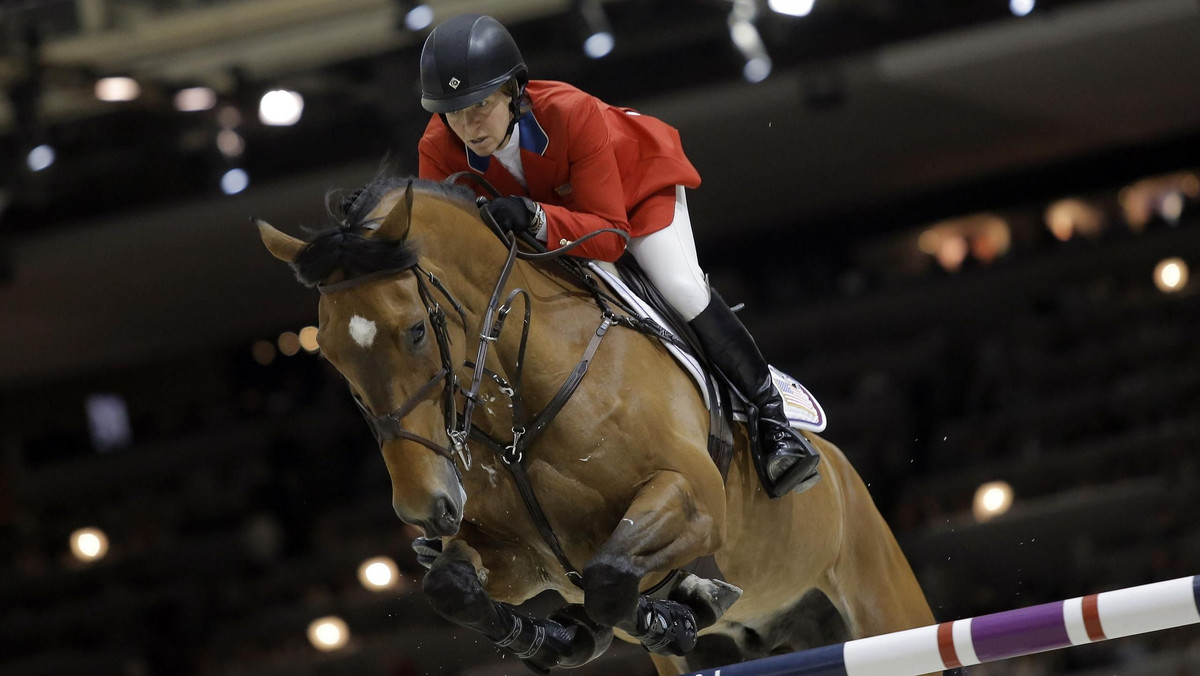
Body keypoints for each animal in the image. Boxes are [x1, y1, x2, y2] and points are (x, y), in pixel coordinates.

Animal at [258, 177, 940, 672]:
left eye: (417, 330)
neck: (520, 414)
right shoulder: (518, 558)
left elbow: (610, 576)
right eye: (330, 357)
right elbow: (454, 585)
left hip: (883, 600)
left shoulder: (694, 500)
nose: (424, 508)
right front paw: (554, 638)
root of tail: (849, 478)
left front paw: (676, 608)